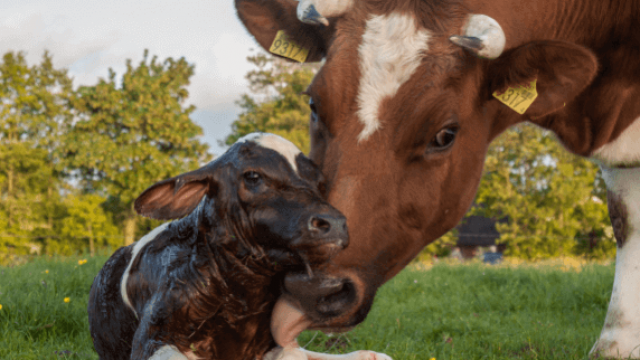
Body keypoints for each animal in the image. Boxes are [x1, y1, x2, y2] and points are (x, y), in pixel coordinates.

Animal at [88, 134, 392, 360]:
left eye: (319, 183)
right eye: (253, 176)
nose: (336, 223)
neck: (242, 294)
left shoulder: (272, 344)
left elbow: (296, 353)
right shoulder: (153, 335)